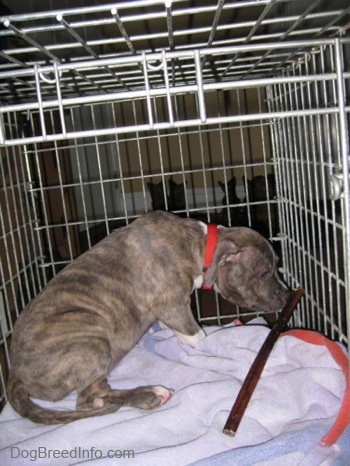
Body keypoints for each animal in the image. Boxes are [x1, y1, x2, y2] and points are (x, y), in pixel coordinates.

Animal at [6, 213, 290, 424]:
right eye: (264, 272)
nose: (287, 296)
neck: (199, 245)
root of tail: (15, 373)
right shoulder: (173, 305)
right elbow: (197, 336)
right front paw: (213, 349)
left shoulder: (166, 312)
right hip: (88, 336)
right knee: (88, 399)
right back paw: (149, 395)